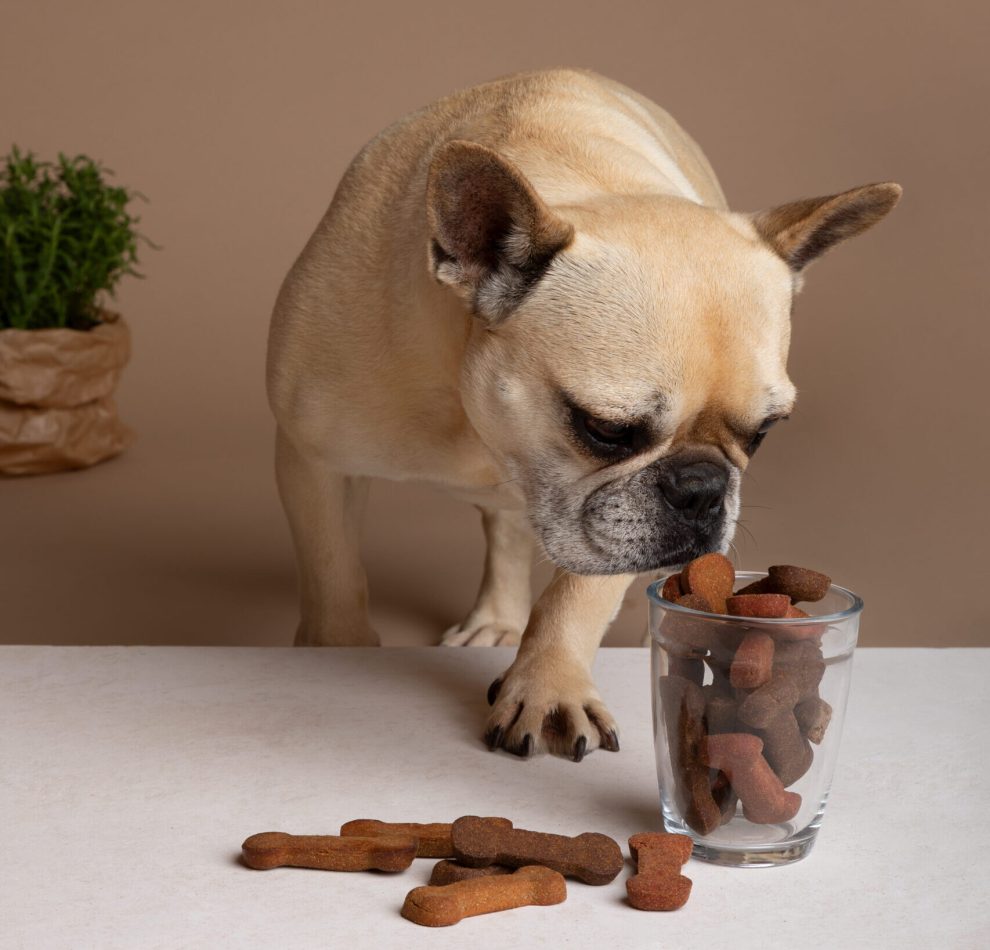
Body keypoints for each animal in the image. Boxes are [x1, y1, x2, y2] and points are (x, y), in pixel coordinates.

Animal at [268, 67, 904, 764]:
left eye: (762, 434)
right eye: (606, 429)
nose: (703, 489)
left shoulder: (612, 527)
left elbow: (575, 593)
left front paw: (548, 686)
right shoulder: (311, 460)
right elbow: (334, 574)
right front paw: (335, 653)